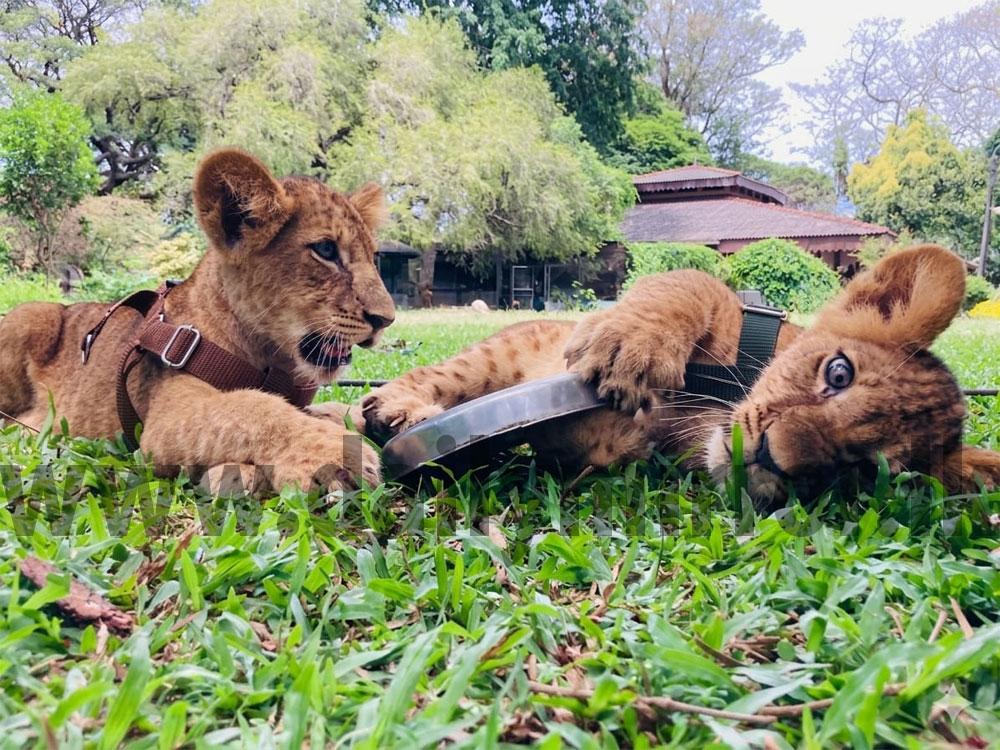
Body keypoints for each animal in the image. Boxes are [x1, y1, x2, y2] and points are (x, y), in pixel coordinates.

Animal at [0, 148, 394, 494]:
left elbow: (328, 409)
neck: (272, 357)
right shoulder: (165, 418)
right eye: (326, 250)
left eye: (373, 256)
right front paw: (336, 455)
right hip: (29, 316)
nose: (385, 319)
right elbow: (251, 408)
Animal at [361, 244, 1000, 507]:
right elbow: (690, 282)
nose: (772, 457)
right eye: (838, 372)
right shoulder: (729, 307)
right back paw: (397, 409)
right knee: (438, 373)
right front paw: (629, 347)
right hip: (503, 348)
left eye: (866, 471)